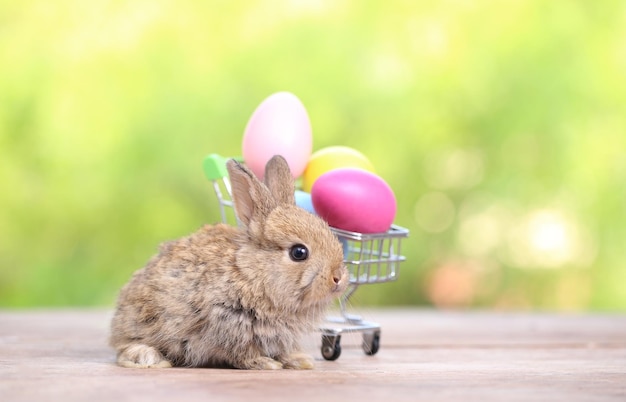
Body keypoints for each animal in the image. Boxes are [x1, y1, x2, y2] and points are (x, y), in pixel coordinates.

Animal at [110, 155, 348, 370]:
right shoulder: (228, 326)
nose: (338, 278)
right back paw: (149, 358)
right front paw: (264, 363)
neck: (253, 274)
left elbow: (283, 349)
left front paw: (299, 361)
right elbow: (243, 353)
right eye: (299, 252)